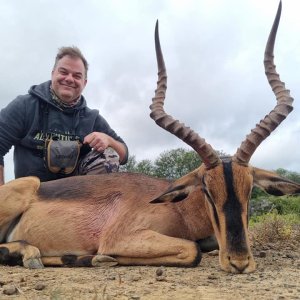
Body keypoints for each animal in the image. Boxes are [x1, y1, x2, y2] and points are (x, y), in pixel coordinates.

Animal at [0, 1, 300, 274]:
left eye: (249, 188)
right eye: (206, 190)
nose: (239, 262)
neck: (179, 209)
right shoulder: (120, 238)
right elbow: (192, 251)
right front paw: (100, 258)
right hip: (27, 186)